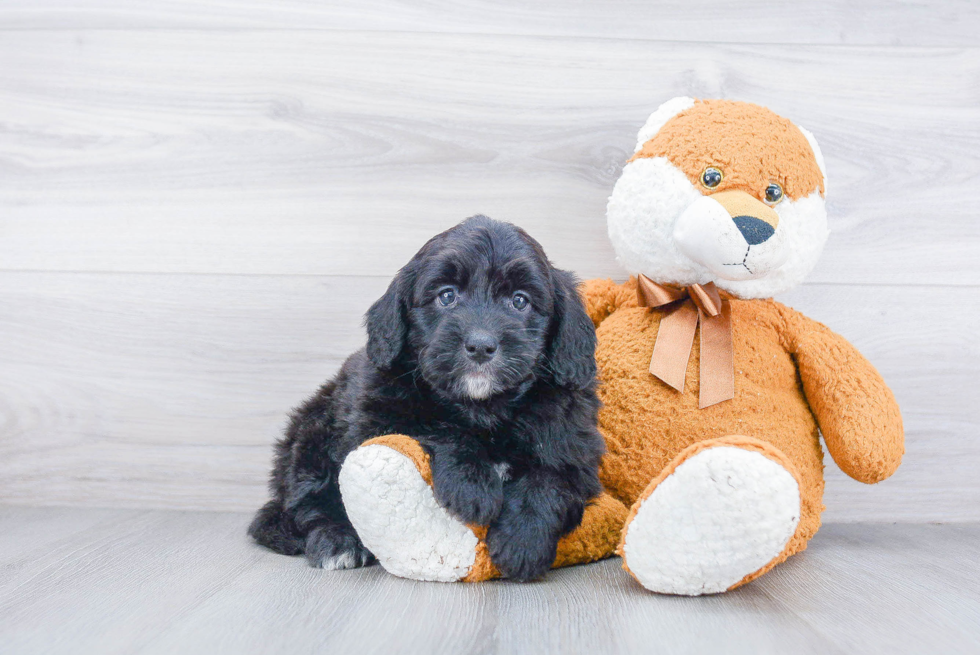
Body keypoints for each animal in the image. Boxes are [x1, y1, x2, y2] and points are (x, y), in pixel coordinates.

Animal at [249, 218, 600, 580]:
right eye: (447, 296)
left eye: (519, 301)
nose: (480, 345)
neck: (483, 408)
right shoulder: (378, 417)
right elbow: (434, 427)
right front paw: (472, 484)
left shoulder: (576, 446)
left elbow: (552, 480)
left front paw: (523, 541)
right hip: (314, 433)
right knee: (309, 505)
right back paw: (338, 541)